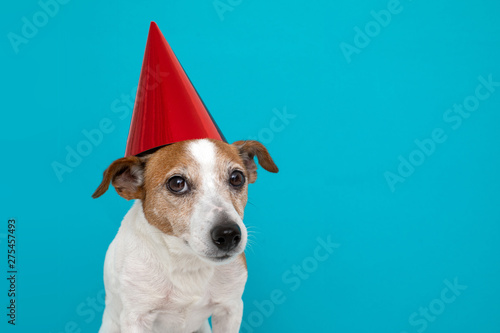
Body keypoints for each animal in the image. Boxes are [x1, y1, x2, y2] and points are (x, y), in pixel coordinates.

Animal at [90, 138, 278, 332]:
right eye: (177, 183)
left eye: (237, 178)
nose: (228, 234)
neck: (187, 261)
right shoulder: (136, 318)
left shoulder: (230, 308)